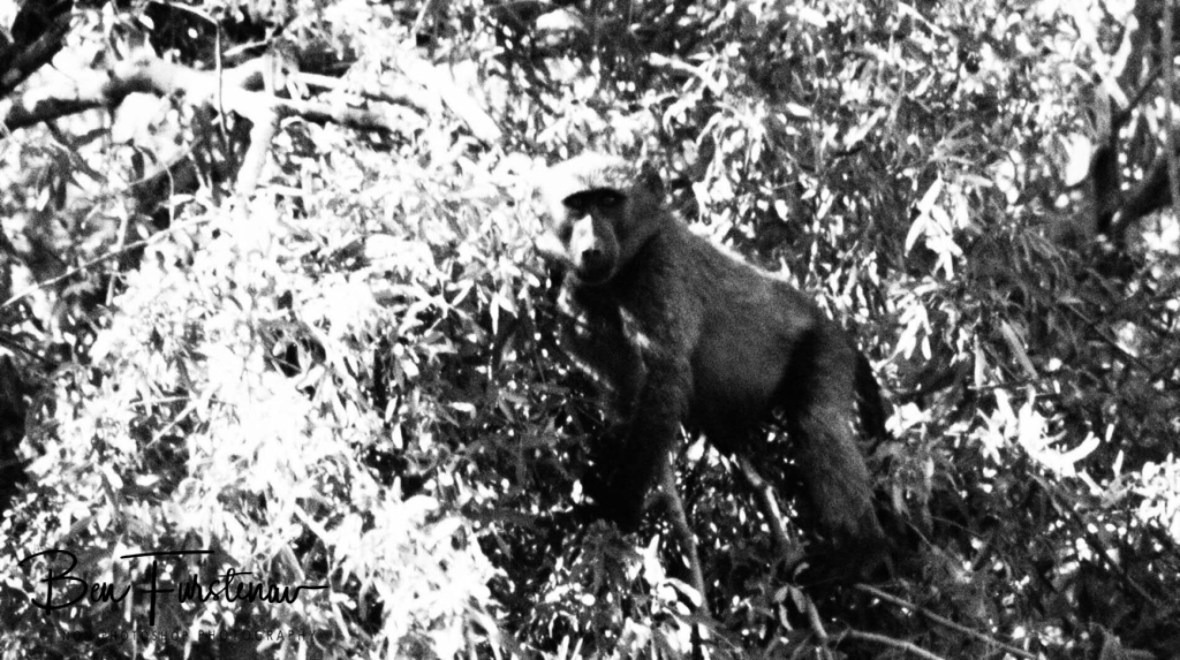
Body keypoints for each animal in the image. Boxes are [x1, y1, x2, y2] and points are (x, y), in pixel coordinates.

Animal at [536, 152, 887, 553]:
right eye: (578, 204)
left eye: (609, 201)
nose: (592, 248)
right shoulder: (580, 295)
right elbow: (622, 395)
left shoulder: (661, 266)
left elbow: (665, 378)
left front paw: (618, 508)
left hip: (825, 347)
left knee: (817, 422)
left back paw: (865, 550)